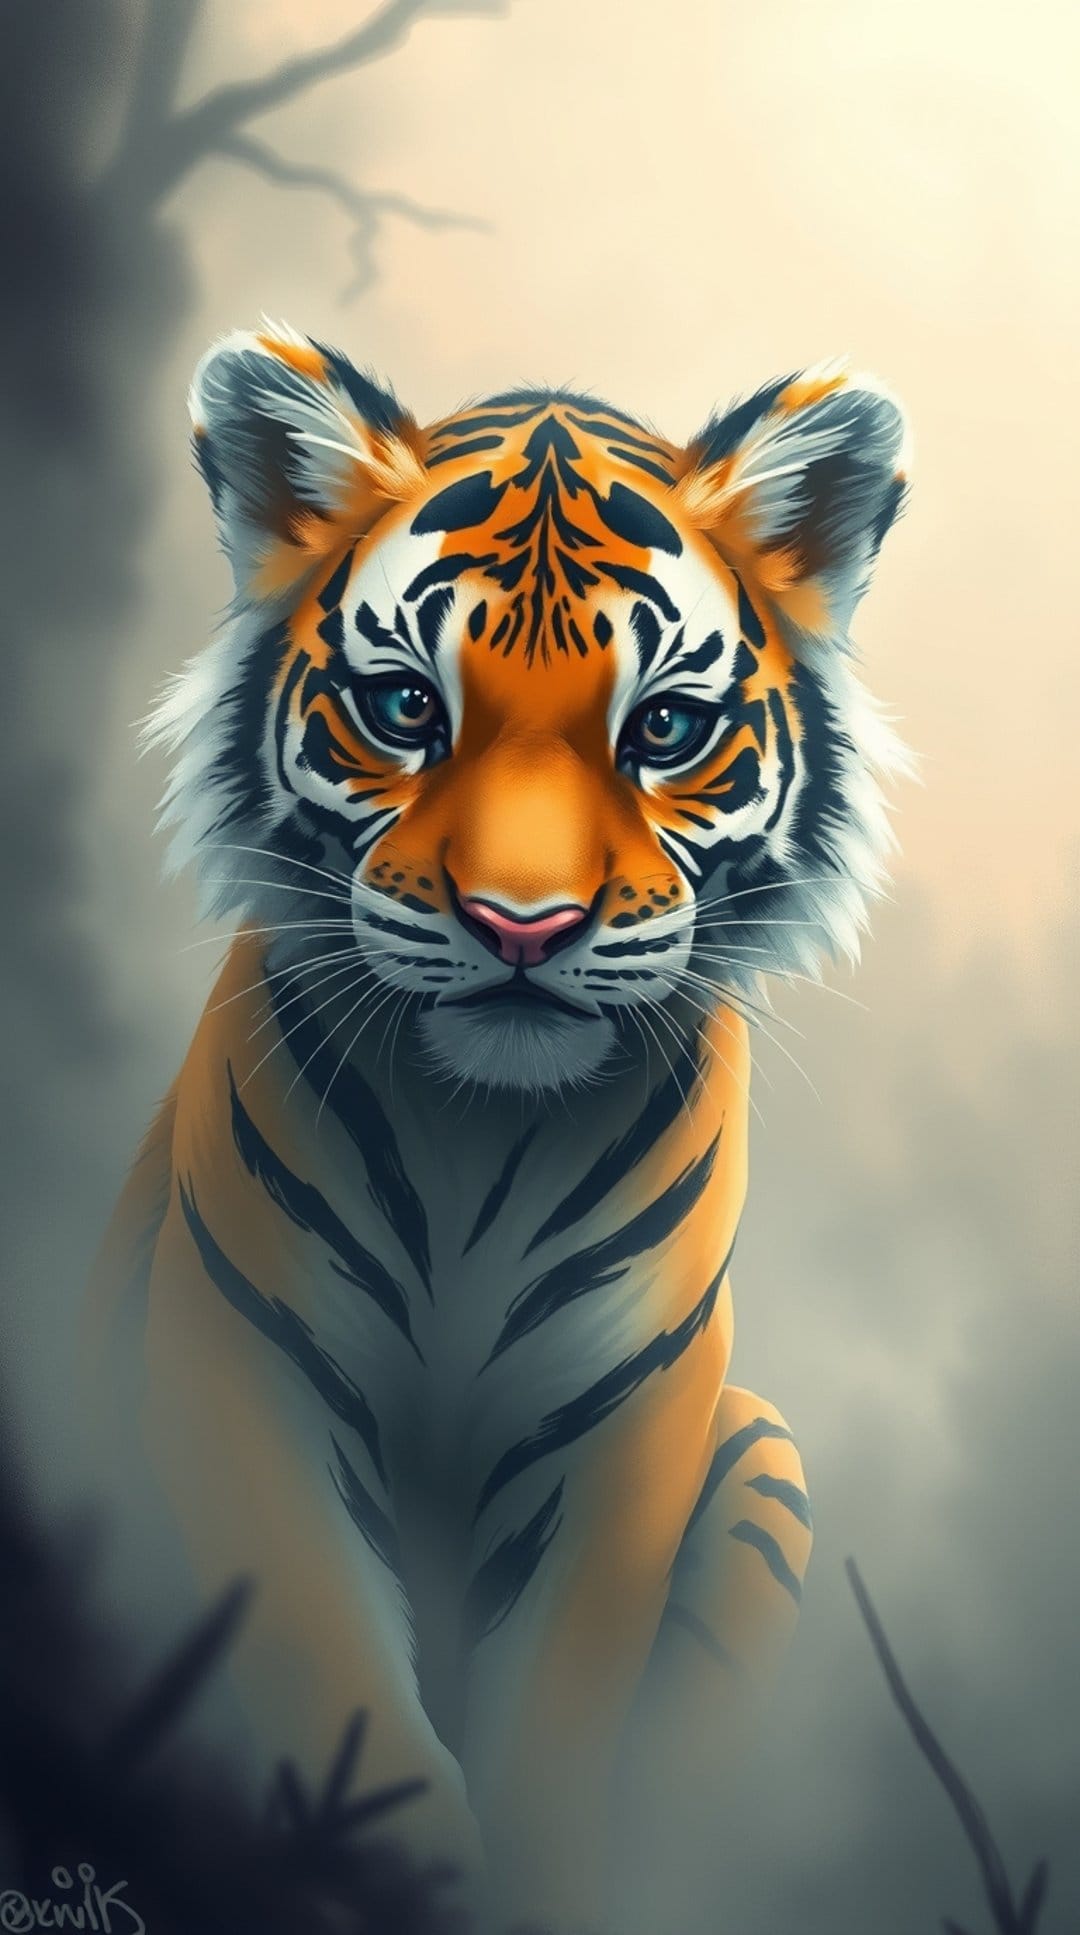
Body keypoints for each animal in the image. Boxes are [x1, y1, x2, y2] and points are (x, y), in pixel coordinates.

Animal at [84, 324, 909, 1933]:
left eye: (664, 728)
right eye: (409, 708)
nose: (523, 926)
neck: (483, 1138)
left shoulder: (623, 1431)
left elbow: (556, 1733)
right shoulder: (239, 1371)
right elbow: (346, 1686)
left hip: (760, 1448)